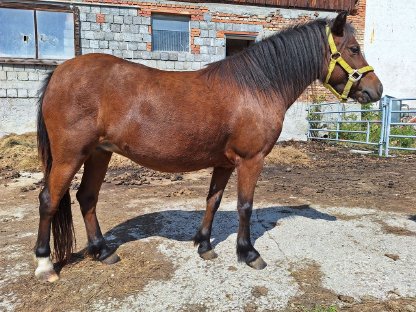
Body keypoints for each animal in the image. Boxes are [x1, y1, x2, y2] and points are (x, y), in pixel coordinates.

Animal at [34, 12, 382, 282]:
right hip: (70, 155)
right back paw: (45, 264)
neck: (256, 86)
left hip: (98, 153)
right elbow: (244, 206)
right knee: (49, 199)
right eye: (353, 48)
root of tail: (59, 72)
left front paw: (204, 245)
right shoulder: (251, 160)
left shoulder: (225, 162)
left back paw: (103, 251)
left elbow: (213, 201)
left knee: (87, 198)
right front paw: (248, 253)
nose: (376, 90)